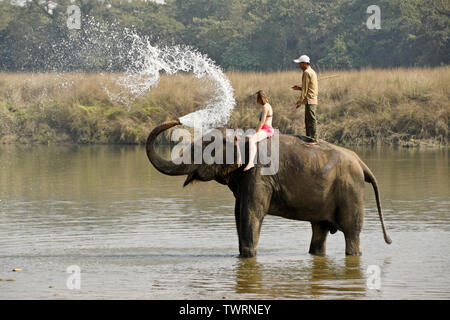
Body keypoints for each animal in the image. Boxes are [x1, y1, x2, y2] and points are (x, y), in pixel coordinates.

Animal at [147, 120, 390, 258]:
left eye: (206, 147)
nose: (176, 120)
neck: (243, 137)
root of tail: (362, 164)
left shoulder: (259, 175)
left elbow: (251, 214)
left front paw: (248, 257)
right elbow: (238, 214)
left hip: (351, 191)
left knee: (351, 233)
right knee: (319, 232)